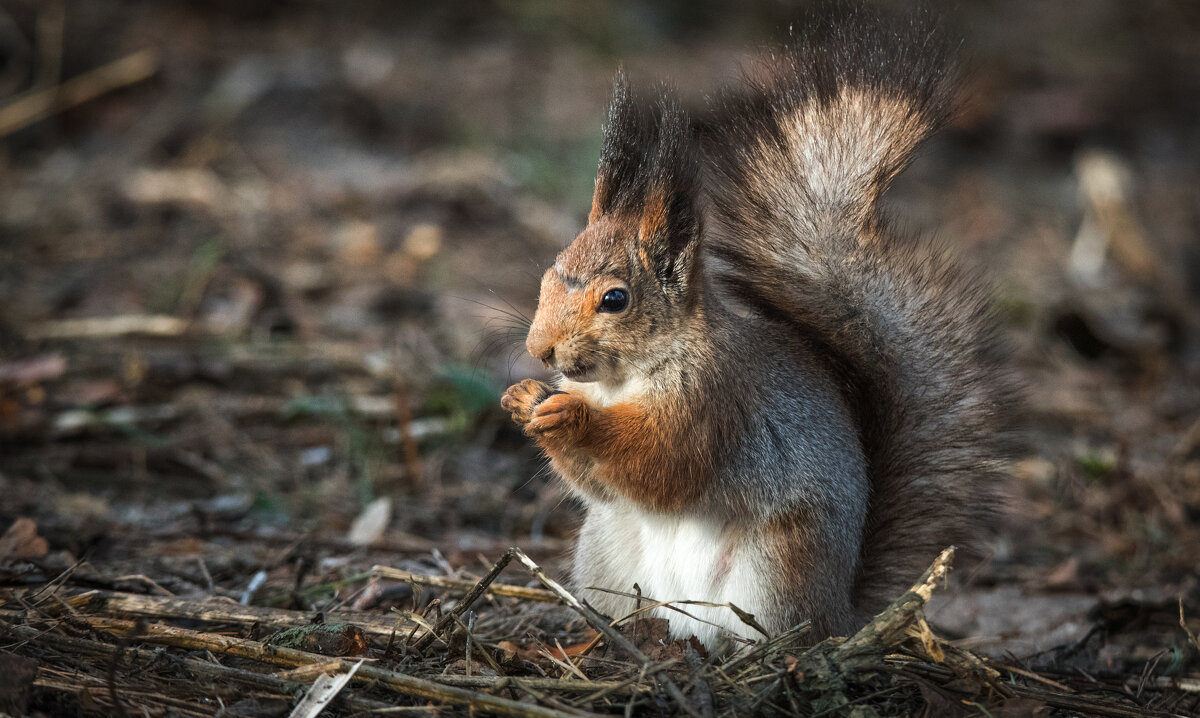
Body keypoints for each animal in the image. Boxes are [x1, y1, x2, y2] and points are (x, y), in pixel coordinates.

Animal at [499, 9, 1012, 653]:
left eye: (615, 299)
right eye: (547, 275)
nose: (539, 351)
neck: (623, 381)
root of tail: (840, 612)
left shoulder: (713, 403)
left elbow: (663, 464)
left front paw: (571, 416)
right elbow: (601, 485)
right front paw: (523, 399)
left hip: (779, 563)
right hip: (607, 551)